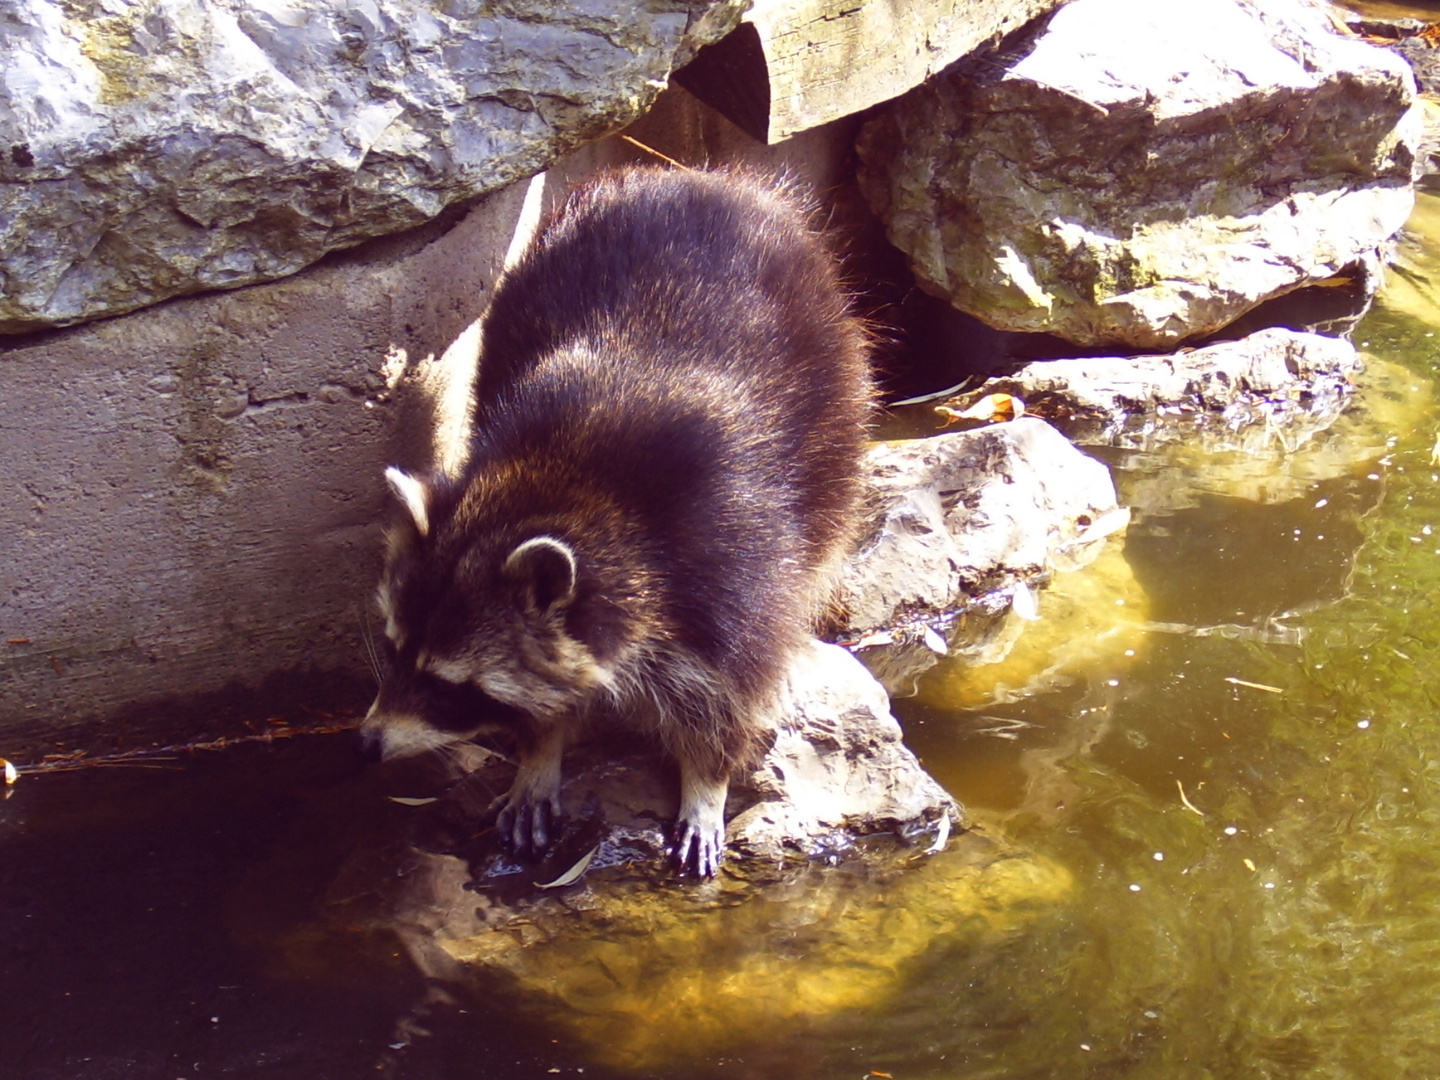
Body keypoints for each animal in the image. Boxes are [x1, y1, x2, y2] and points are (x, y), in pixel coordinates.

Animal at [365, 169, 869, 881]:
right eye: (392, 650)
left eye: (447, 687)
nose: (366, 743)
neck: (563, 488)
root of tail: (703, 177)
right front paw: (539, 753)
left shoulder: (730, 553)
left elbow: (731, 685)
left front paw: (706, 781)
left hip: (833, 380)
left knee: (828, 504)